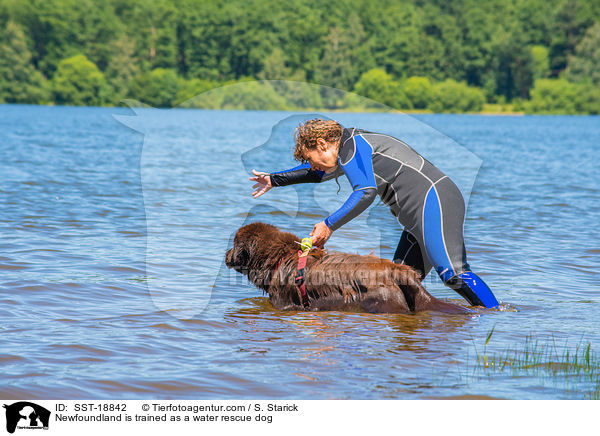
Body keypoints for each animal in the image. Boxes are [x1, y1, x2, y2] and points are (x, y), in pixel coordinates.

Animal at [226, 223, 474, 316]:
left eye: (234, 244)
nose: (226, 254)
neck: (281, 257)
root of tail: (397, 271)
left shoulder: (283, 302)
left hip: (381, 301)